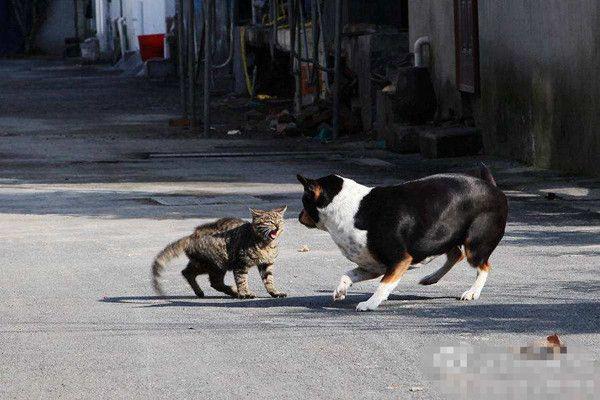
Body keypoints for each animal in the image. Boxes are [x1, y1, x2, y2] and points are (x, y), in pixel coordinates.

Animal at [152, 208, 288, 298]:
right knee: (214, 282)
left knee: (187, 272)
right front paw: (245, 293)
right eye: (269, 221)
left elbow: (269, 279)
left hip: (203, 263)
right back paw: (234, 291)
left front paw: (274, 292)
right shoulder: (240, 263)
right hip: (217, 263)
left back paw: (201, 292)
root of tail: (191, 236)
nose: (277, 226)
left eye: (279, 221)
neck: (266, 244)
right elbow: (242, 280)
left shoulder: (267, 264)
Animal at [298, 164, 508, 310]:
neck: (348, 208)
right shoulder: (372, 266)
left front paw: (371, 303)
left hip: (475, 245)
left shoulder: (399, 260)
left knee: (483, 267)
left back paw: (472, 292)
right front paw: (341, 290)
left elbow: (384, 285)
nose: (299, 216)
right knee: (456, 254)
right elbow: (347, 274)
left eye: (304, 201)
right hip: (443, 234)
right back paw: (431, 278)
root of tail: (493, 187)